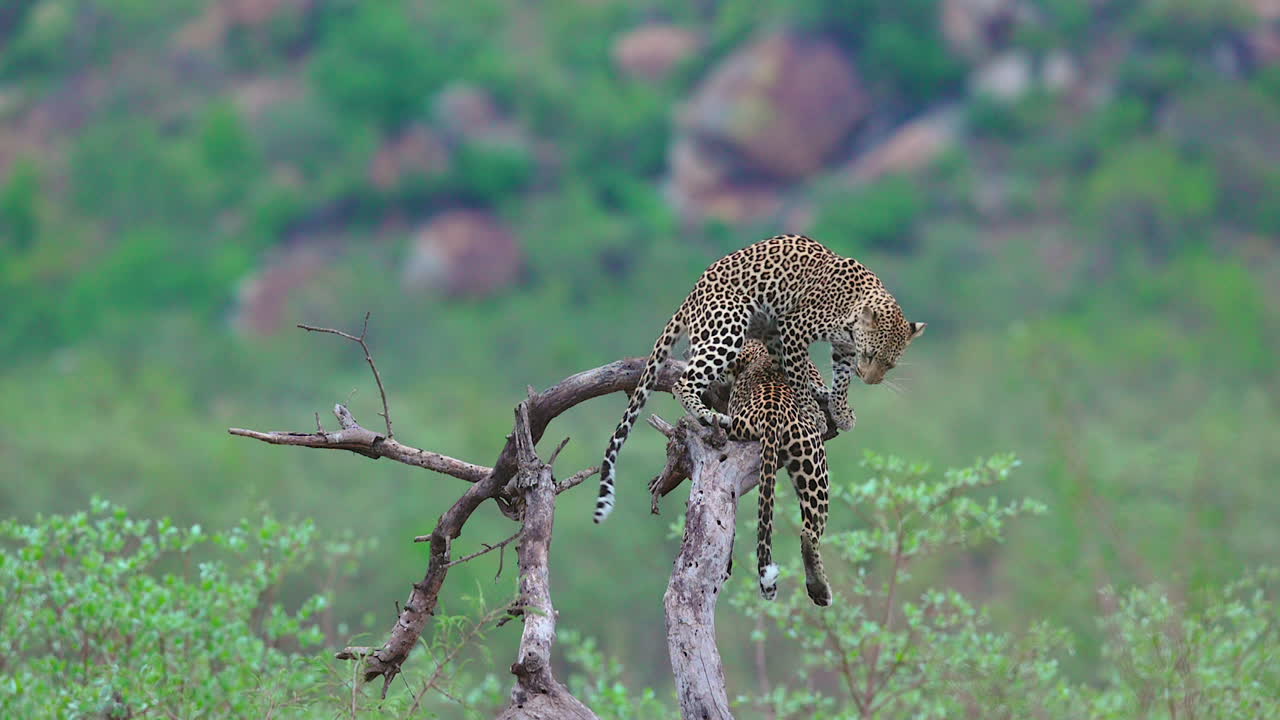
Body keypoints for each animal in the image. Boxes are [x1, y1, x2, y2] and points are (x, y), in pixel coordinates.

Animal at [595, 233, 924, 524]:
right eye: (869, 355)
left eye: (889, 364)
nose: (870, 380)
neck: (852, 310)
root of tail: (691, 295)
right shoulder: (794, 327)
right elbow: (798, 373)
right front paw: (814, 414)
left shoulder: (839, 347)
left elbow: (840, 379)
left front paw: (839, 409)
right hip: (730, 324)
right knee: (686, 380)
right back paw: (710, 415)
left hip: (764, 328)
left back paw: (818, 390)